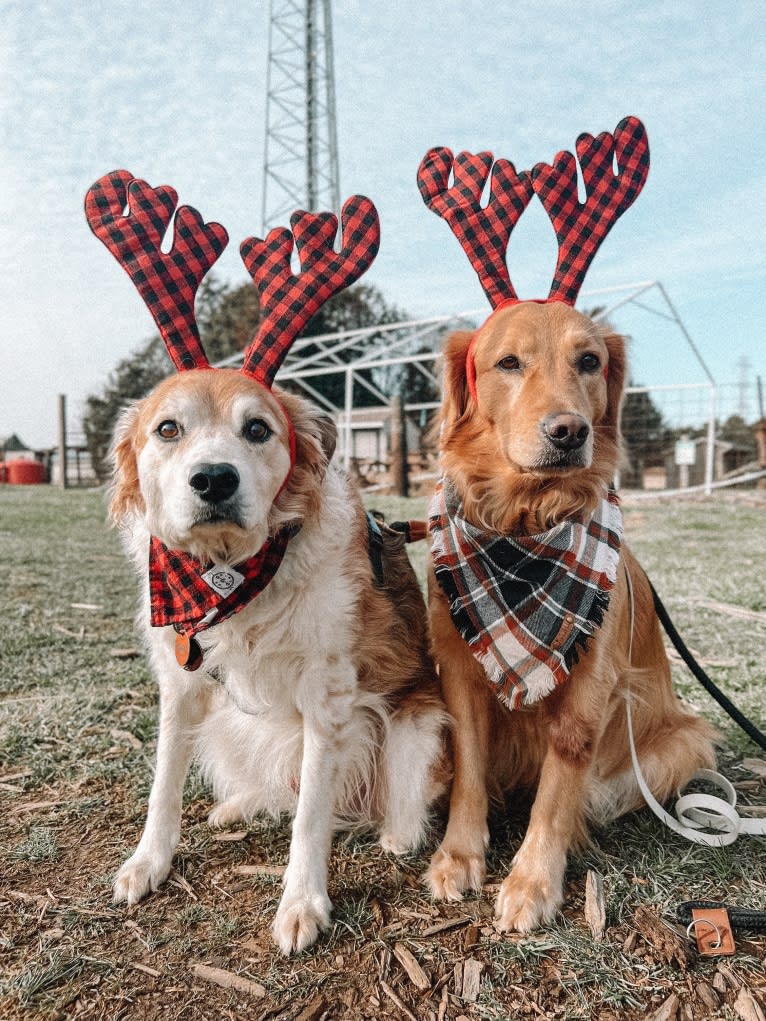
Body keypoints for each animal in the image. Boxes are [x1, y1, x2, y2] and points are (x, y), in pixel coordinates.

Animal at [113, 369, 449, 955]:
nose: (214, 479)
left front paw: (302, 903)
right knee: (279, 791)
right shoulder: (181, 686)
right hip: (227, 729)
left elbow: (311, 815)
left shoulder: (328, 697)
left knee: (375, 812)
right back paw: (237, 806)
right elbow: (164, 785)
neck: (229, 577)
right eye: (168, 428)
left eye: (257, 429)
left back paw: (392, 834)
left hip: (416, 730)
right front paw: (148, 861)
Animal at [428, 298, 719, 931]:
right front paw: (458, 855)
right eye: (508, 362)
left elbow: (559, 788)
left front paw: (532, 881)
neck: (524, 526)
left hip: (685, 741)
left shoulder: (590, 682)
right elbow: (468, 764)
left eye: (589, 361)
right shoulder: (460, 666)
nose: (569, 431)